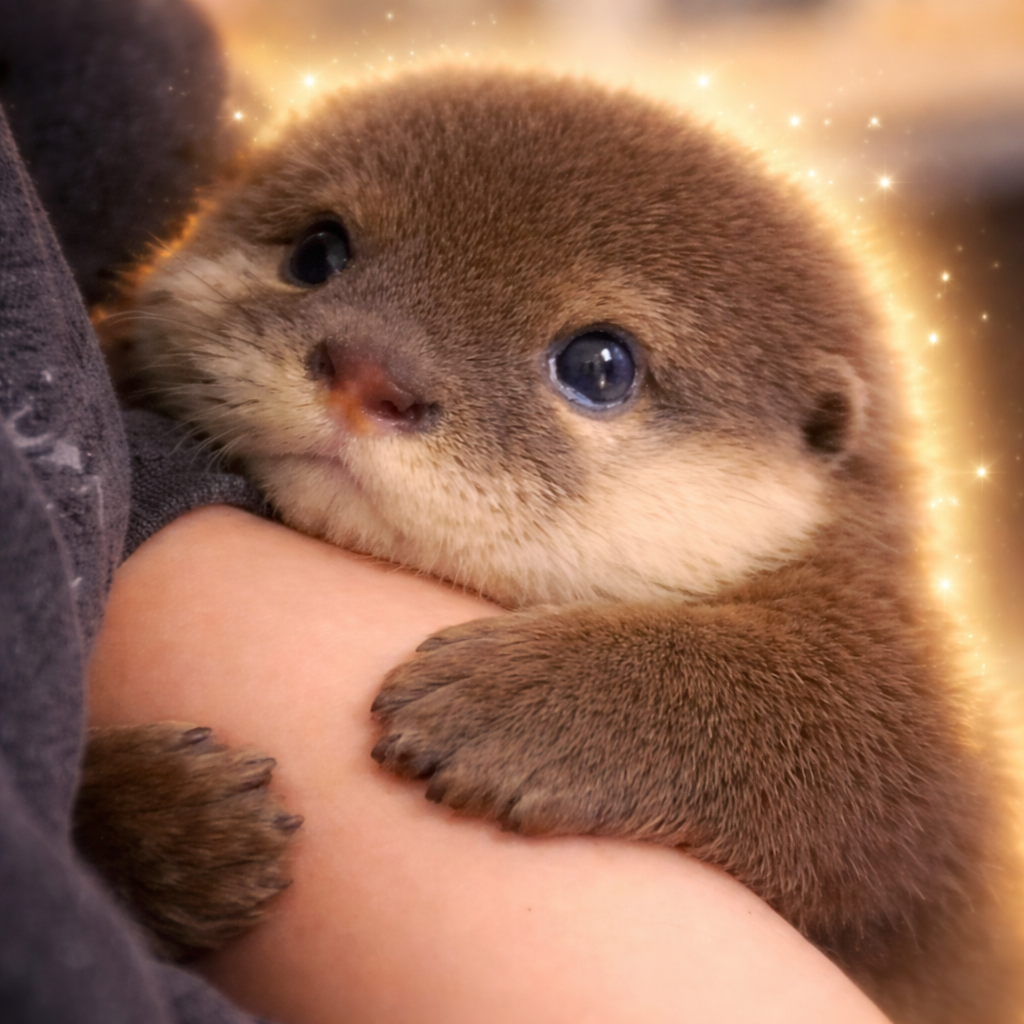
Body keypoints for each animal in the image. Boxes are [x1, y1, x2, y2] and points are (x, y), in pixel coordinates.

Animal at [94, 70, 1023, 1022]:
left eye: (599, 365)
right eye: (318, 251)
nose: (367, 370)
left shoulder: (936, 739)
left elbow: (868, 748)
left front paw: (509, 706)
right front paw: (165, 820)